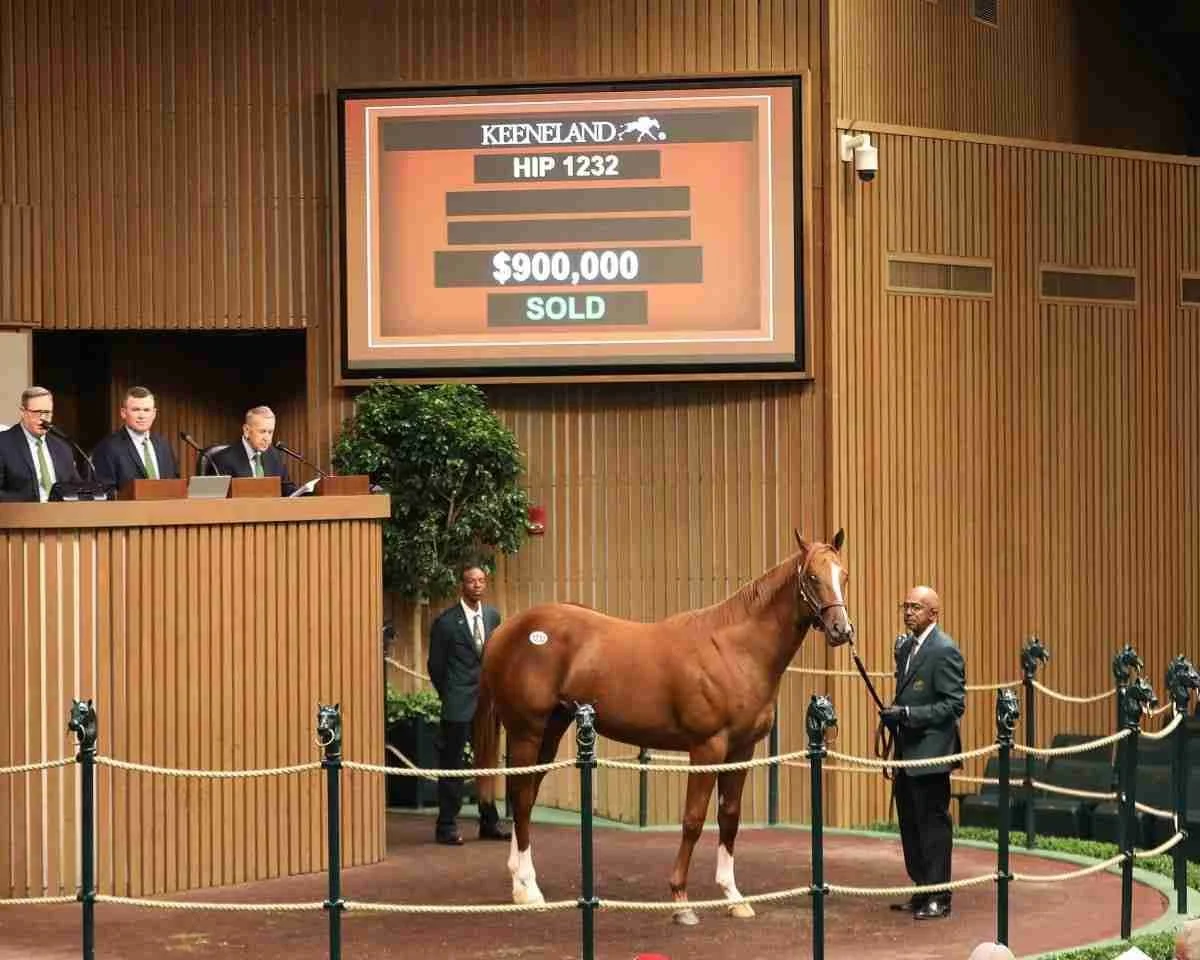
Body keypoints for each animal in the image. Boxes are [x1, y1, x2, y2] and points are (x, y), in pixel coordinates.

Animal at [473, 529, 854, 924]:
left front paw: (734, 896)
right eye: (813, 577)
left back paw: (520, 884)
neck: (735, 650)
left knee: (527, 795)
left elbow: (729, 817)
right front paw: (681, 900)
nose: (842, 630)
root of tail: (506, 630)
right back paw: (529, 889)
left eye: (843, 576)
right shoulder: (707, 747)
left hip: (551, 729)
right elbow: (694, 820)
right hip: (527, 731)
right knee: (520, 797)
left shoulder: (741, 750)